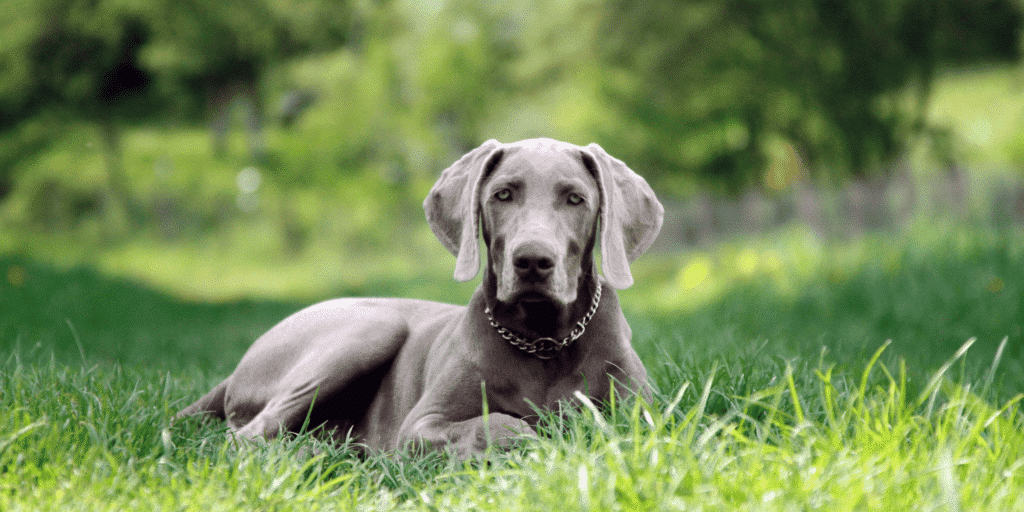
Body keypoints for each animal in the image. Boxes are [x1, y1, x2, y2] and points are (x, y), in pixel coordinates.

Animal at [178, 136, 663, 456]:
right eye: (503, 194)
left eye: (575, 199)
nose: (532, 261)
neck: (545, 343)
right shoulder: (419, 427)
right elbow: (498, 424)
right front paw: (537, 438)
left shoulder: (645, 416)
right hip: (372, 326)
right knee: (246, 437)